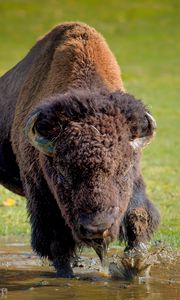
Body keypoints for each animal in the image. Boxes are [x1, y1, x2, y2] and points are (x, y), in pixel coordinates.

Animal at [0, 22, 160, 278]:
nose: (97, 228)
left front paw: (137, 264)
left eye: (123, 170)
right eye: (64, 173)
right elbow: (57, 240)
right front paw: (66, 274)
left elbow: (138, 214)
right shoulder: (41, 194)